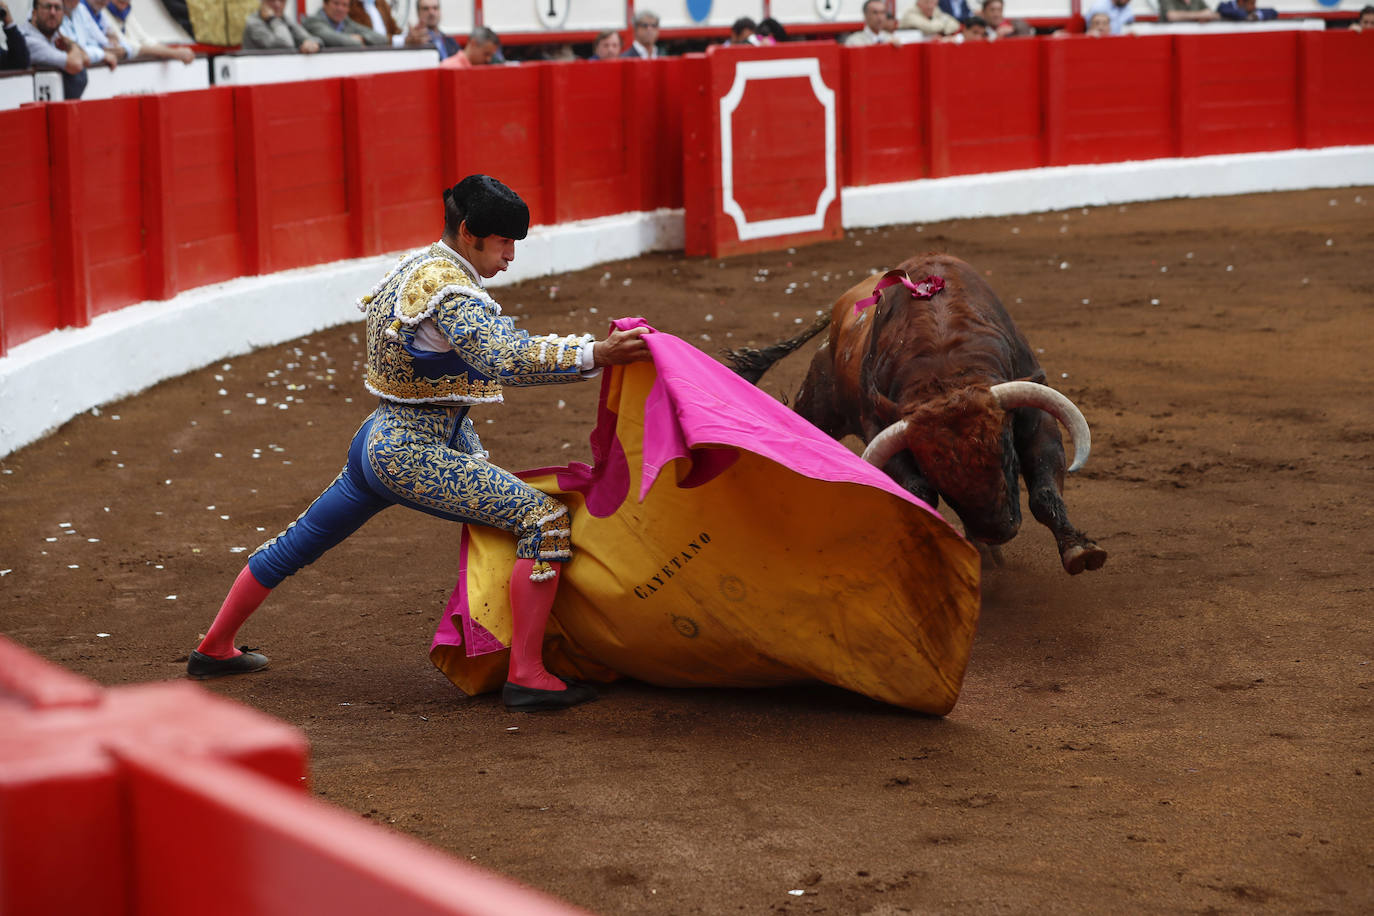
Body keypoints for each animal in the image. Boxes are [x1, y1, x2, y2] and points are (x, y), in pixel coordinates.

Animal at [730, 254, 1104, 576]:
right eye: (940, 479)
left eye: (1009, 456)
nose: (997, 532)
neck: (945, 364)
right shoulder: (884, 429)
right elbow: (920, 493)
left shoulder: (1034, 416)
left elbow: (1043, 489)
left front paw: (1079, 550)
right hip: (819, 404)